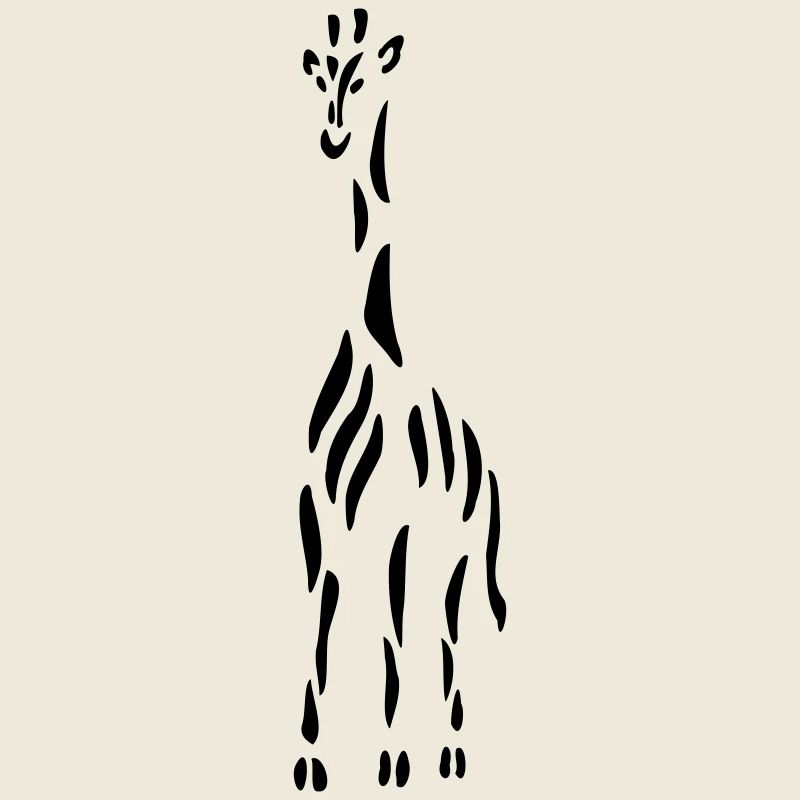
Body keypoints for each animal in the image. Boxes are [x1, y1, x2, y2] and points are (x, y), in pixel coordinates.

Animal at [293, 9, 507, 791]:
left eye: (363, 80)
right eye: (321, 76)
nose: (333, 137)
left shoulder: (397, 530)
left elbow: (391, 637)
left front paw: (391, 759)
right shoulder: (320, 522)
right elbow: (323, 629)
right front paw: (312, 759)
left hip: (456, 552)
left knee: (445, 633)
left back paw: (448, 753)